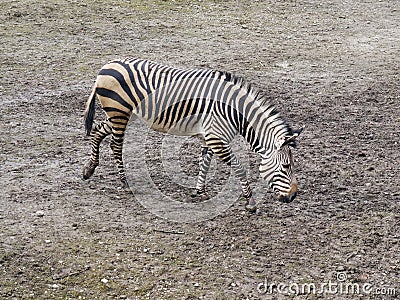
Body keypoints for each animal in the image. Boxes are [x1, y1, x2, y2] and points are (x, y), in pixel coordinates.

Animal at [84, 58, 304, 211]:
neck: (234, 113)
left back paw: (89, 169)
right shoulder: (217, 139)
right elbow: (239, 167)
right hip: (119, 111)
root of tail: (107, 65)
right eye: (286, 167)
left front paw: (200, 191)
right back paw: (123, 181)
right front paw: (249, 201)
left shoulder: (210, 137)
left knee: (97, 130)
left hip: (118, 113)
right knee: (115, 144)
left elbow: (204, 162)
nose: (293, 196)